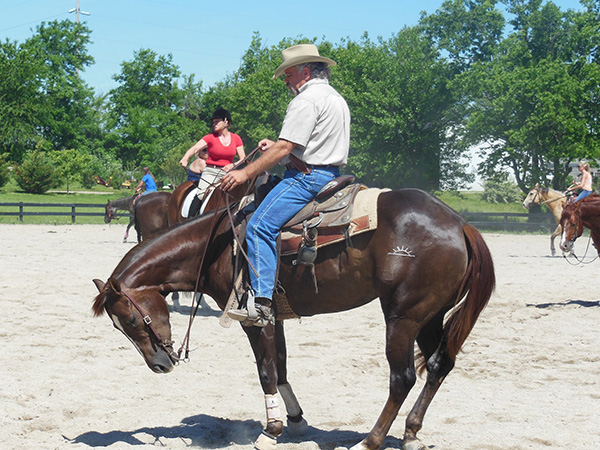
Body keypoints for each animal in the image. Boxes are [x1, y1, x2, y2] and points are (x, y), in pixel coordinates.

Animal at [92, 187, 496, 450]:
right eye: (117, 325)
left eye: (130, 321)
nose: (160, 365)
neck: (217, 246)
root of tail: (459, 224)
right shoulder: (277, 317)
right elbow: (282, 366)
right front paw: (296, 421)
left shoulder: (253, 318)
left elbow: (266, 371)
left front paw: (271, 429)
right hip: (431, 314)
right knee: (439, 365)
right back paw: (411, 433)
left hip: (403, 317)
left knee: (403, 378)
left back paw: (370, 440)